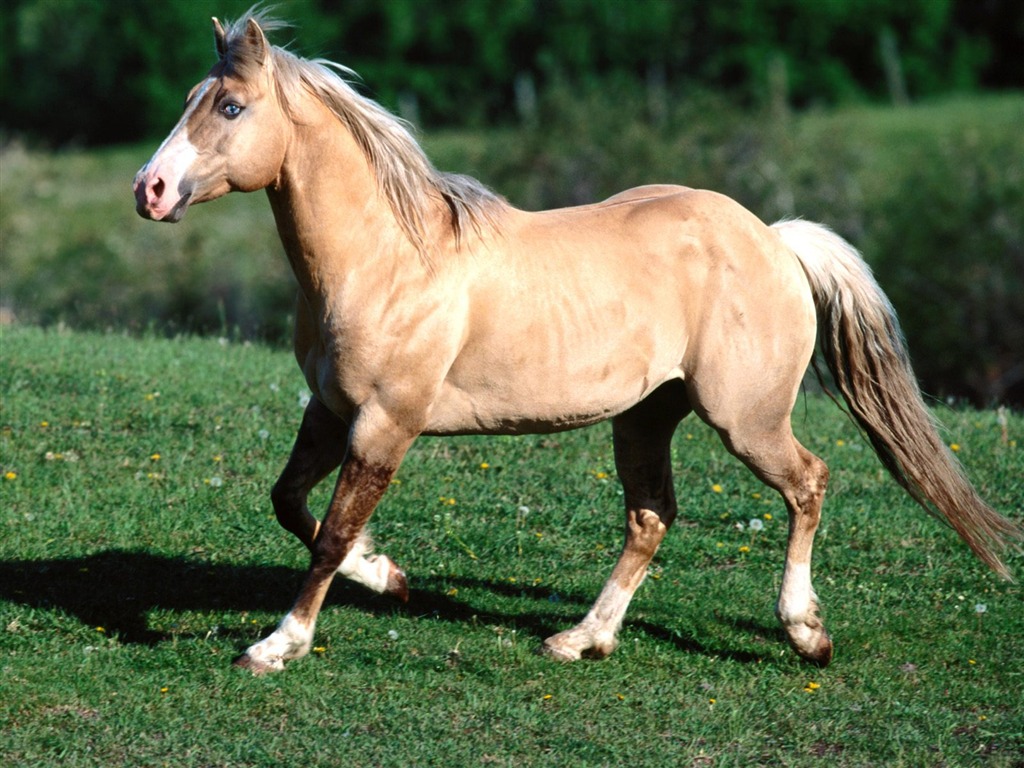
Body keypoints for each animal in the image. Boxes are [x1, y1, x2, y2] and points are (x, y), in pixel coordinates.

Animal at [132, 10, 1019, 671]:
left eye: (230, 108)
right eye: (191, 98)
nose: (150, 190)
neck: (388, 260)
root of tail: (772, 237)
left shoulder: (386, 424)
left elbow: (329, 536)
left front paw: (278, 645)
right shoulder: (328, 411)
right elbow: (290, 505)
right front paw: (391, 578)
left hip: (746, 418)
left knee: (807, 483)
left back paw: (805, 633)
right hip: (646, 416)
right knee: (651, 516)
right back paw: (581, 640)